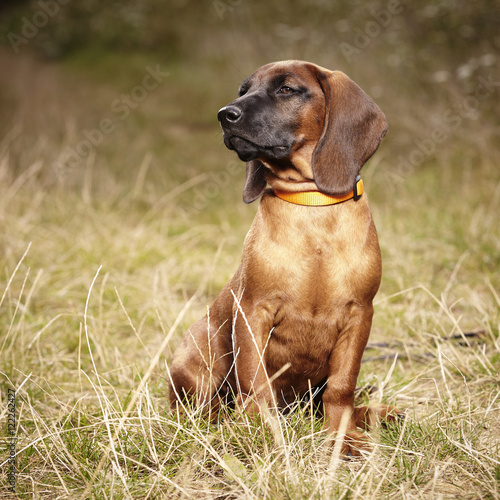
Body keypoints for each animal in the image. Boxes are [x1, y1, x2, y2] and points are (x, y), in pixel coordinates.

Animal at [169, 60, 402, 456]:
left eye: (287, 90)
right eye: (244, 90)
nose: (224, 115)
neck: (312, 204)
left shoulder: (360, 315)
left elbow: (342, 386)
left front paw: (342, 435)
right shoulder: (253, 311)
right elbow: (255, 382)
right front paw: (255, 431)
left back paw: (374, 412)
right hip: (200, 350)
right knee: (204, 405)